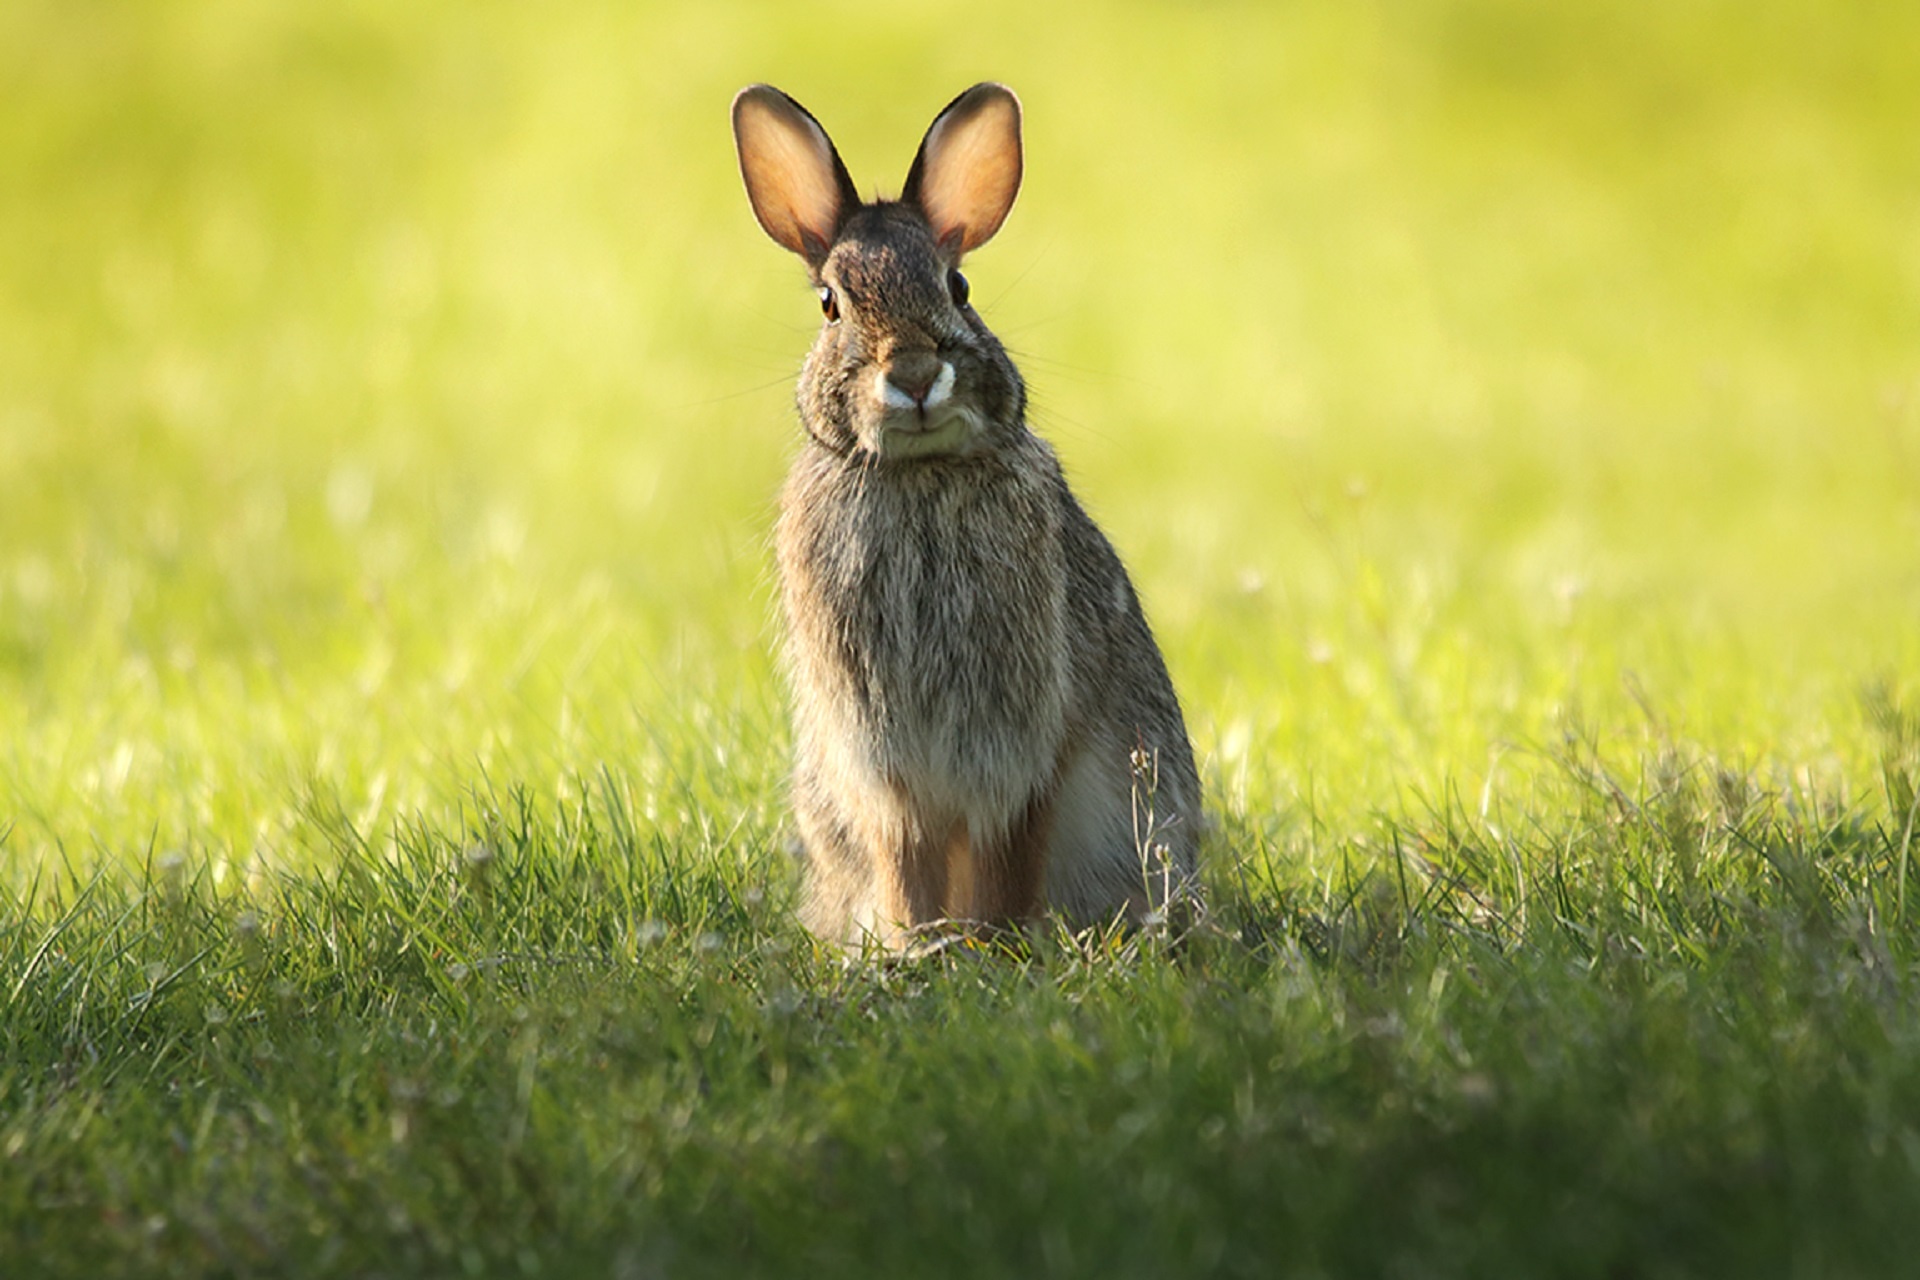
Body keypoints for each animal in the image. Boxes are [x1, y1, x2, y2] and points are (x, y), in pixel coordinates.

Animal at [733, 80, 1198, 951]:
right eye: (830, 304)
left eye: (959, 289)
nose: (915, 374)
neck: (918, 475)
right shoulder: (881, 757)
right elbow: (905, 851)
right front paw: (918, 940)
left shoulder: (1020, 744)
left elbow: (1008, 846)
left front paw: (993, 939)